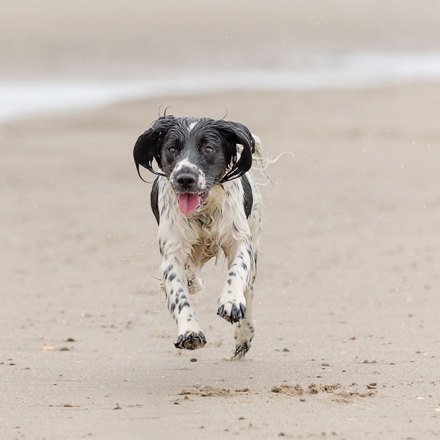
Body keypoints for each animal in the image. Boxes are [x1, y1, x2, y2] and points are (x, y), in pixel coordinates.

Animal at [133, 115, 262, 358]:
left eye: (209, 148)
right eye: (172, 148)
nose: (185, 178)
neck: (202, 212)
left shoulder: (239, 239)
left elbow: (237, 270)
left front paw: (231, 301)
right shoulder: (172, 253)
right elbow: (178, 294)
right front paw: (190, 332)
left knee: (249, 290)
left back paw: (243, 335)